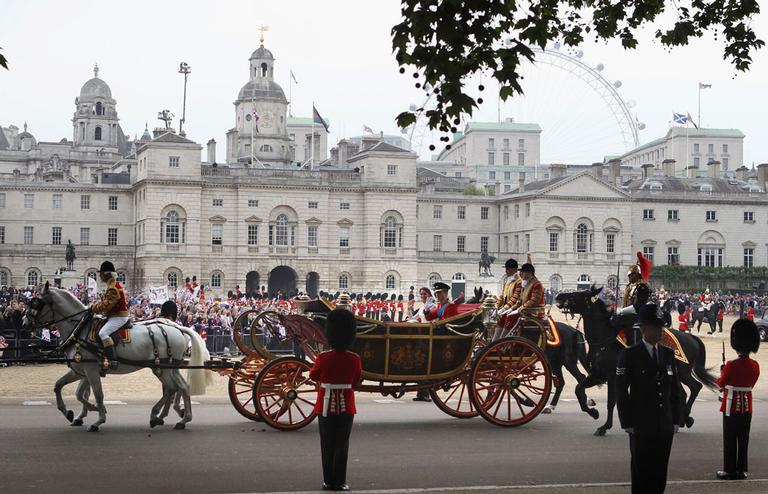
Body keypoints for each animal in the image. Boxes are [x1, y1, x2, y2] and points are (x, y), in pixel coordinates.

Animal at [23, 284, 213, 430]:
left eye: (36, 302)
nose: (25, 322)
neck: (80, 330)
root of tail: (178, 328)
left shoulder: (91, 370)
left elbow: (96, 394)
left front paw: (98, 419)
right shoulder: (81, 371)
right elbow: (63, 388)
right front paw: (73, 413)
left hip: (163, 369)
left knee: (172, 388)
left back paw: (158, 416)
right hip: (168, 368)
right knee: (181, 387)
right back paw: (181, 418)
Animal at [556, 286, 716, 436]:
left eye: (579, 294)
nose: (559, 296)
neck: (604, 341)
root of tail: (691, 338)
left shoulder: (613, 376)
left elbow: (611, 402)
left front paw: (604, 427)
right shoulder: (598, 375)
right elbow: (578, 389)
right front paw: (593, 412)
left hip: (682, 372)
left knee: (695, 387)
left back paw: (683, 418)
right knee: (682, 393)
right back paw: (683, 419)